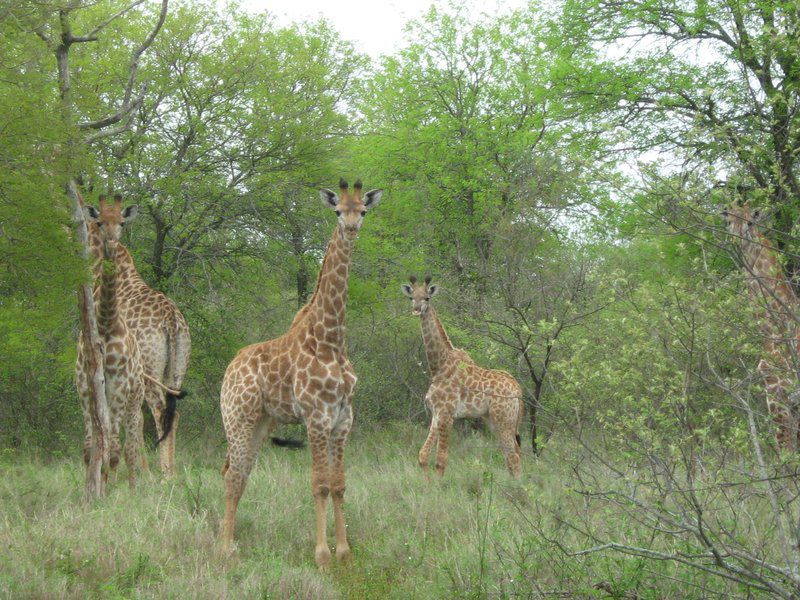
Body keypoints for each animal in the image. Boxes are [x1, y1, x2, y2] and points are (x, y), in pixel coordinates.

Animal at [217, 177, 382, 568]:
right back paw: (225, 549)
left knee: (238, 473)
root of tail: (230, 368)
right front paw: (322, 554)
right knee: (233, 475)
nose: (350, 229)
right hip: (237, 418)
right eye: (337, 211)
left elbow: (339, 484)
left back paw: (228, 542)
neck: (331, 340)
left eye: (363, 211)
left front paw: (344, 551)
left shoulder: (343, 418)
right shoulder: (316, 416)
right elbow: (319, 483)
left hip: (261, 422)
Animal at [400, 276, 524, 478]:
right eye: (412, 297)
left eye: (427, 298)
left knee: (513, 456)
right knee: (512, 454)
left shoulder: (447, 414)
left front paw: (439, 485)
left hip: (504, 419)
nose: (417, 309)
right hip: (495, 420)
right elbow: (423, 455)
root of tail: (518, 390)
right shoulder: (436, 413)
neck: (439, 365)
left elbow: (441, 460)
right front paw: (427, 484)